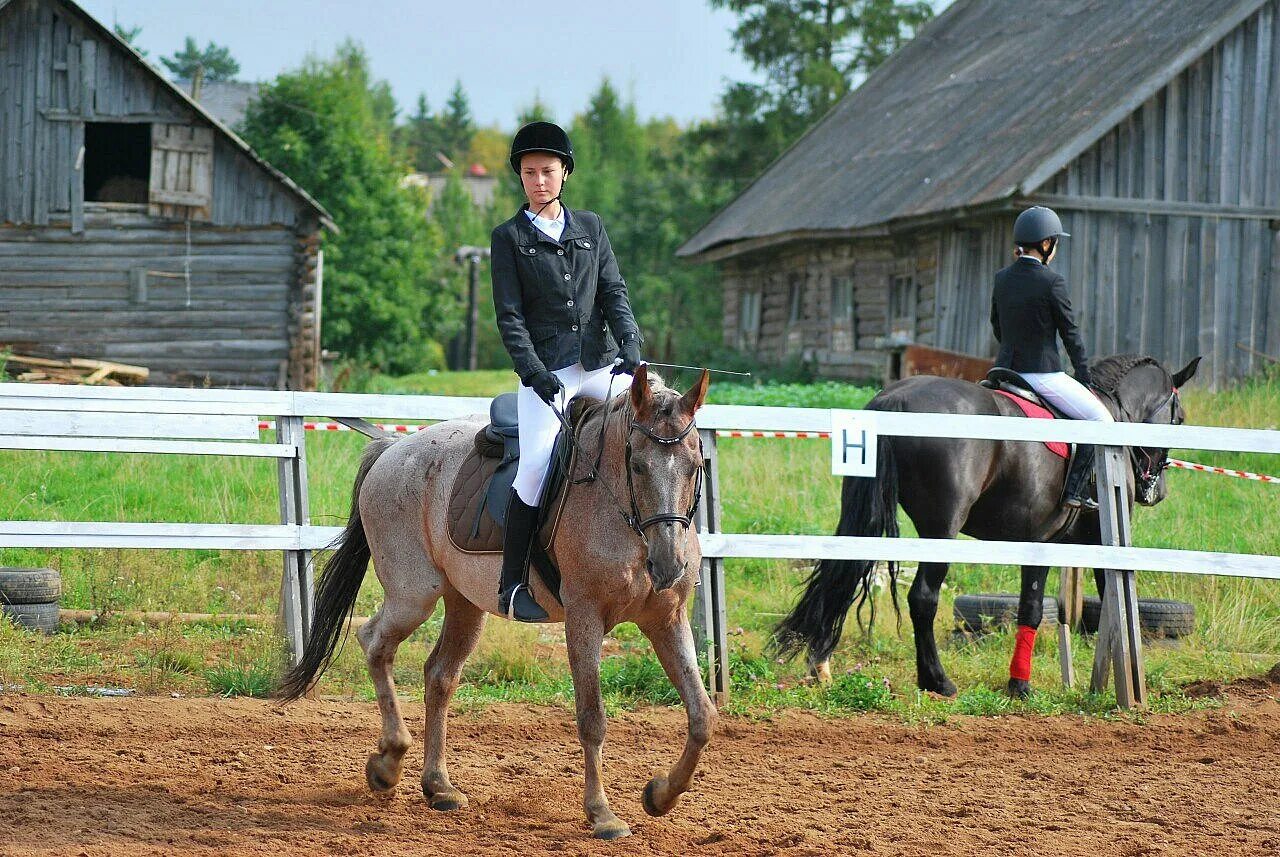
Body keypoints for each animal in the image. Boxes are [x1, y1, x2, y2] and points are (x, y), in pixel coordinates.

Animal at [277, 365, 711, 844]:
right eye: (636, 464)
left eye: (695, 465)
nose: (668, 565)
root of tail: (393, 448)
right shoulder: (584, 618)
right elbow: (592, 717)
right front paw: (602, 814)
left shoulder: (667, 620)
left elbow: (702, 715)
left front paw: (661, 795)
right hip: (414, 595)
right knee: (375, 643)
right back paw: (388, 762)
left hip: (464, 602)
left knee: (440, 675)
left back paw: (438, 786)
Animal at [773, 355, 1203, 695]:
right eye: (1179, 420)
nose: (1156, 490)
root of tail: (894, 400)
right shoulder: (1084, 540)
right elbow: (1099, 605)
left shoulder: (1040, 543)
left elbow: (1035, 607)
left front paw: (1019, 682)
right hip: (941, 529)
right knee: (923, 599)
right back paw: (937, 681)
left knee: (840, 579)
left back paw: (820, 664)